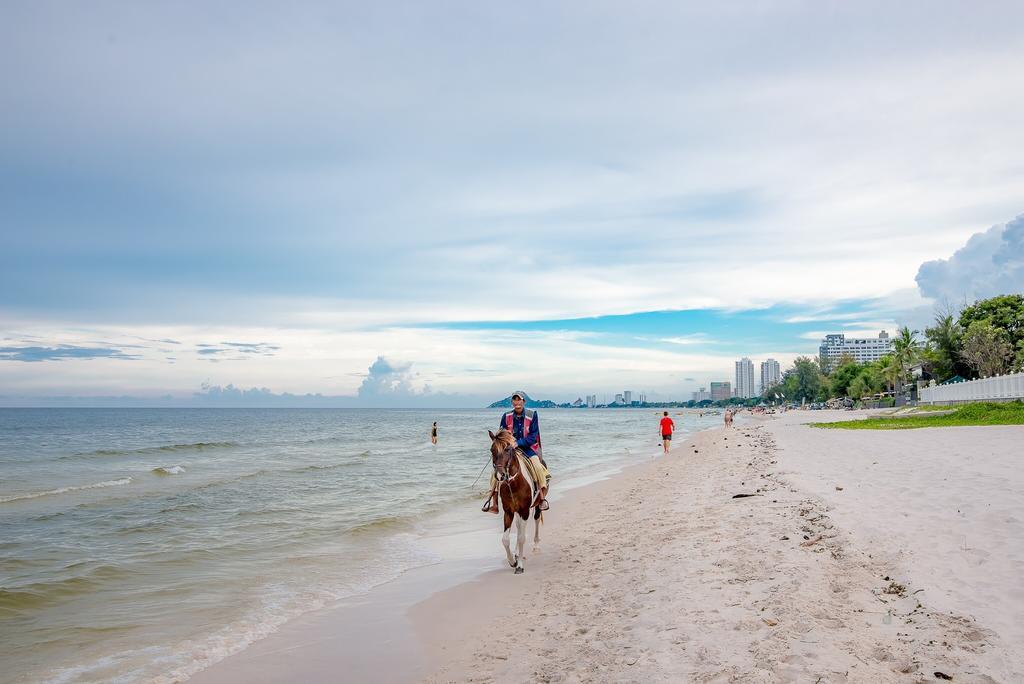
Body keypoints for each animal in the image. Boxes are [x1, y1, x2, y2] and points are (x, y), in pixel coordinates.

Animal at [487, 430, 544, 573]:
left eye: (507, 449)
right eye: (492, 450)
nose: (500, 475)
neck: (513, 483)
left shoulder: (524, 511)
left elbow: (522, 537)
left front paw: (519, 566)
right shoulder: (509, 511)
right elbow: (505, 539)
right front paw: (512, 561)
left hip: (537, 505)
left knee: (536, 519)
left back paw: (536, 546)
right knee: (518, 527)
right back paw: (517, 553)